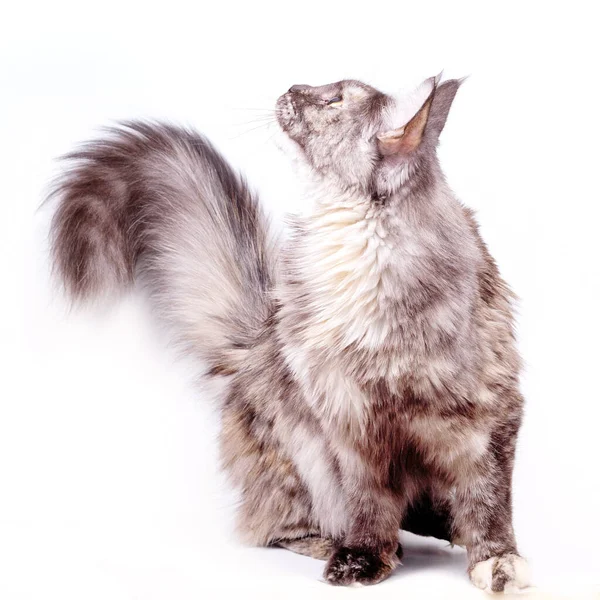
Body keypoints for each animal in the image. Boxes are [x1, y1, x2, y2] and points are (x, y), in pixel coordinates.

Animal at [50, 74, 528, 592]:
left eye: (334, 100)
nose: (294, 86)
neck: (359, 248)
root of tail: (256, 342)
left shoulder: (484, 417)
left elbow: (489, 503)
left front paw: (497, 563)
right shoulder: (348, 420)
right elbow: (368, 505)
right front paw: (363, 559)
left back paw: (440, 530)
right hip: (300, 451)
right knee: (277, 527)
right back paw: (338, 543)